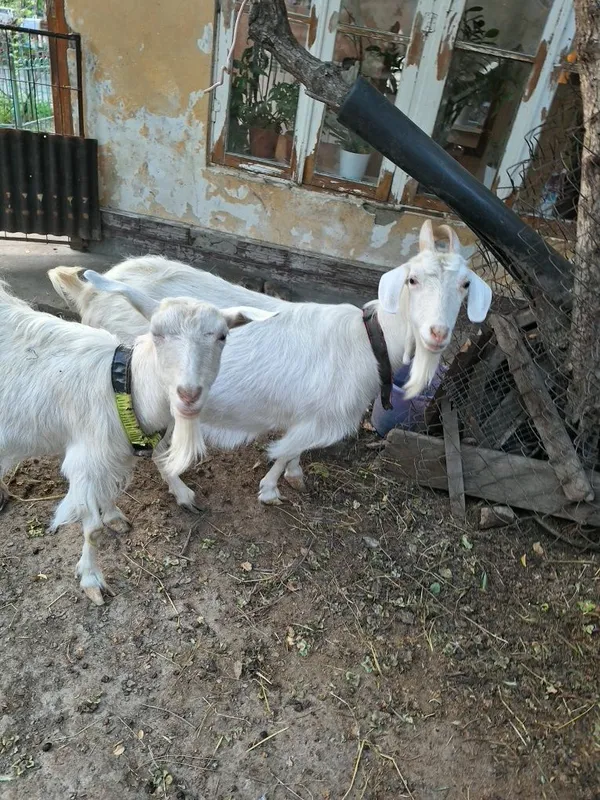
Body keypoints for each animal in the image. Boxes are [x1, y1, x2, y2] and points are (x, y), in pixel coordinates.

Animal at [0, 274, 273, 604]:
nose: (188, 395)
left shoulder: (112, 456)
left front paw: (118, 513)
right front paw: (91, 579)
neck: (123, 385)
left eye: (222, 336)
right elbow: (92, 530)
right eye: (156, 333)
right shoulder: (86, 463)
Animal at [48, 220, 492, 505]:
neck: (369, 339)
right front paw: (270, 490)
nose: (438, 333)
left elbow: (293, 450)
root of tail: (90, 292)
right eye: (412, 280)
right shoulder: (322, 419)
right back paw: (182, 493)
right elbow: (283, 451)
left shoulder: (309, 414)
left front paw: (294, 475)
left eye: (465, 284)